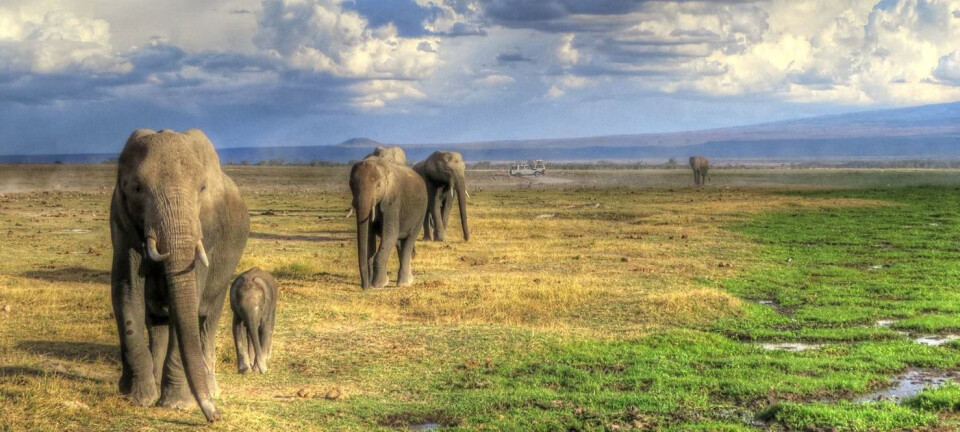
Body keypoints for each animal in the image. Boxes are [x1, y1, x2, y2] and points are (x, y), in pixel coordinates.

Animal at [109, 128, 249, 422]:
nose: (215, 417)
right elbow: (126, 291)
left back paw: (210, 388)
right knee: (158, 320)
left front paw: (176, 404)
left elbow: (190, 302)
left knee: (207, 318)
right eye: (137, 188)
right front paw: (137, 398)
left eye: (202, 189)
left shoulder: (207, 227)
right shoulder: (121, 219)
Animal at [349, 157, 427, 289]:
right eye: (351, 184)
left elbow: (390, 234)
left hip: (421, 212)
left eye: (378, 185)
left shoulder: (393, 202)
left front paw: (379, 285)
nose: (364, 287)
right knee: (400, 244)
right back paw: (409, 280)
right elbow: (369, 237)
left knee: (408, 241)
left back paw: (403, 283)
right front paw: (373, 284)